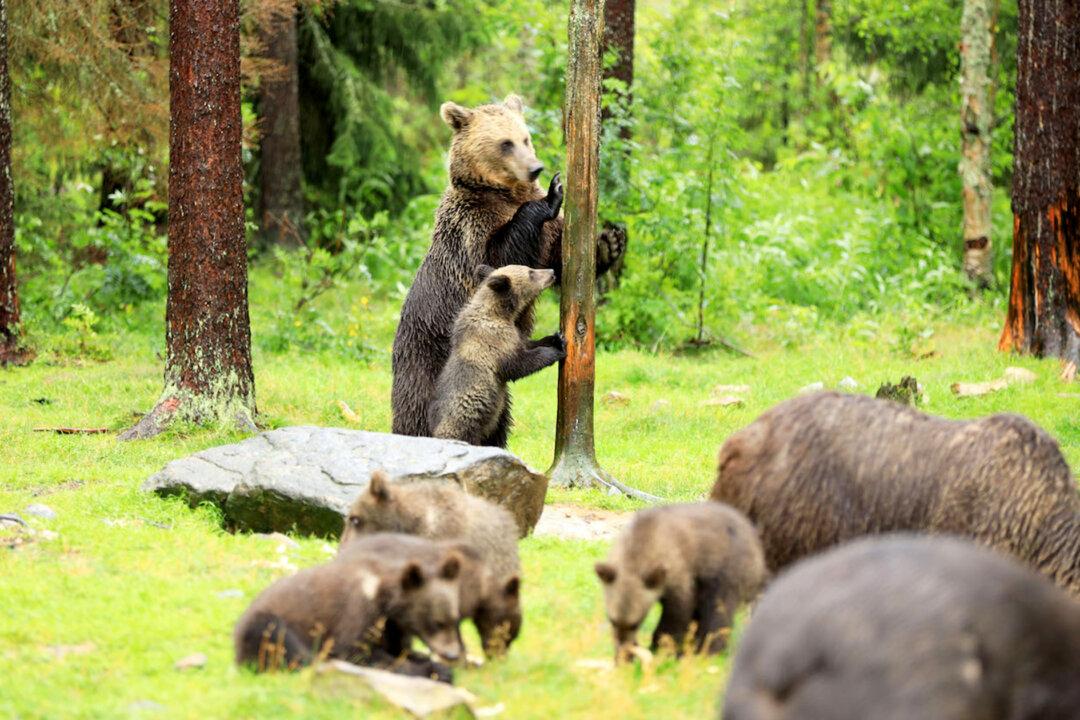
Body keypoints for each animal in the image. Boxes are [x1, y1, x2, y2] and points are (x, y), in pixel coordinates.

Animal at [233, 540, 465, 681]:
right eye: (437, 622)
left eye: (454, 619)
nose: (453, 653)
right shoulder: (357, 611)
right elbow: (357, 653)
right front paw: (434, 671)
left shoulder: (392, 627)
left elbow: (399, 649)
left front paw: (430, 662)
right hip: (269, 623)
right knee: (282, 643)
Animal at [428, 263, 563, 447]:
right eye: (531, 272)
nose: (552, 272)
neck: (500, 313)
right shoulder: (493, 343)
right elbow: (517, 366)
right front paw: (556, 351)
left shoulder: (514, 336)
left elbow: (526, 344)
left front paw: (555, 338)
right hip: (464, 423)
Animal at [594, 502, 767, 662]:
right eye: (612, 619)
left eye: (635, 623)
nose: (625, 651)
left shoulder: (677, 569)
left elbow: (678, 612)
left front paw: (661, 648)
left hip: (729, 569)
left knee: (718, 609)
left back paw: (707, 652)